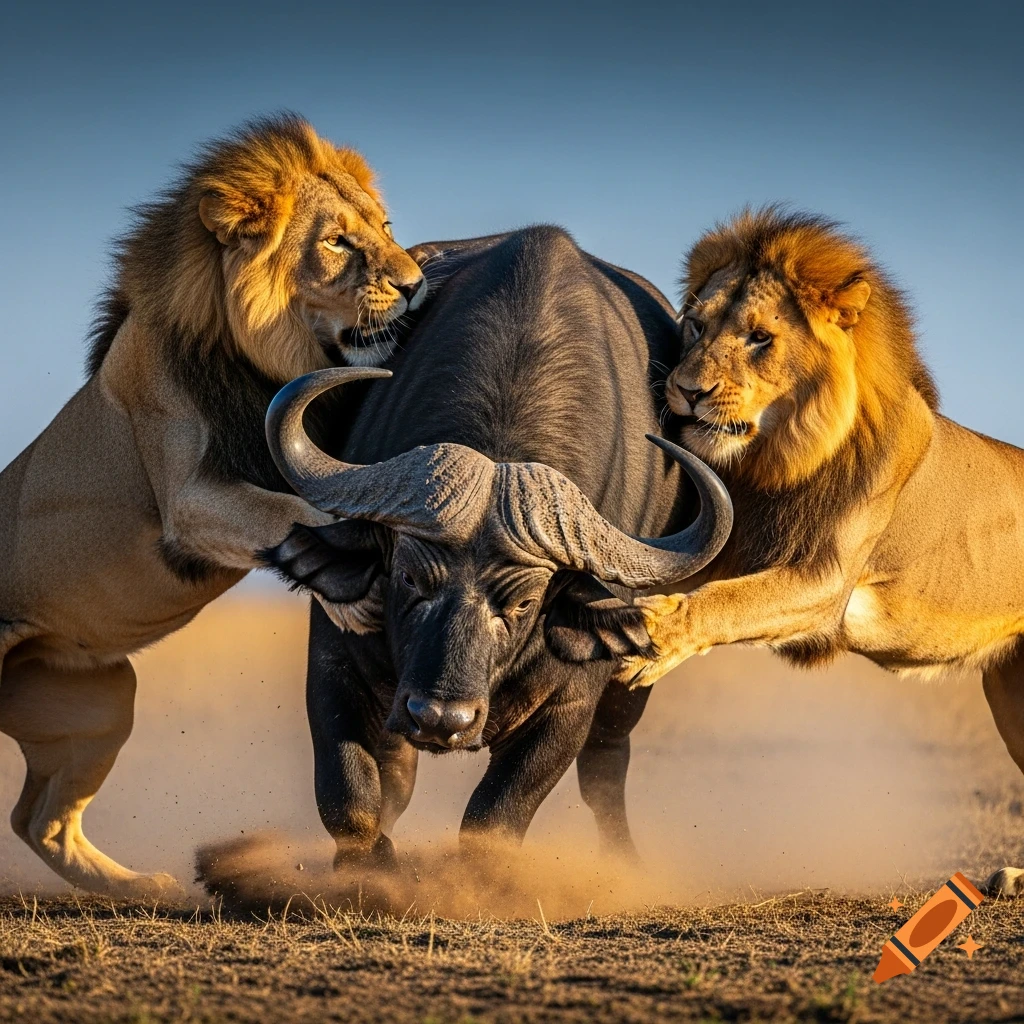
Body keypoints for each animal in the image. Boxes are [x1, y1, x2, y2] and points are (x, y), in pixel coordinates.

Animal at [0, 115, 425, 896]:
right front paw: (354, 589)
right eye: (336, 241)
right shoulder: (191, 498)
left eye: (383, 227)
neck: (263, 359)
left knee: (37, 820)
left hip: (106, 699)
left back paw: (141, 888)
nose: (416, 285)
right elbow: (288, 512)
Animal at [263, 228, 732, 868]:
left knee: (606, 767)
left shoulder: (569, 705)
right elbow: (350, 798)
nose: (441, 719)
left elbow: (495, 820)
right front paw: (372, 868)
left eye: (524, 604)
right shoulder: (336, 657)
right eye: (409, 579)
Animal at [619, 206, 1024, 896]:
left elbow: (729, 602)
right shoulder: (730, 541)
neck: (777, 457)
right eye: (695, 324)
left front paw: (655, 637)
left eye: (759, 338)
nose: (686, 390)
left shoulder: (824, 582)